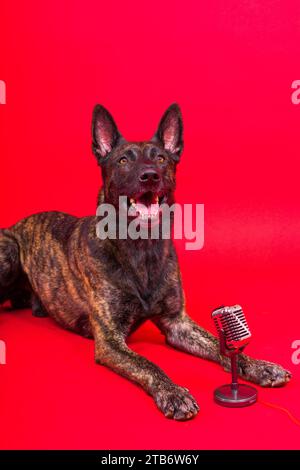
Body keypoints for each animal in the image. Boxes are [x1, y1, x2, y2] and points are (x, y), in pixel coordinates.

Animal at [0, 104, 290, 420]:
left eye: (161, 158)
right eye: (123, 160)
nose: (150, 176)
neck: (142, 248)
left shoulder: (178, 323)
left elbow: (221, 347)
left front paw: (259, 366)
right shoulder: (110, 341)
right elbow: (147, 364)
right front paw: (173, 392)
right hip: (9, 251)